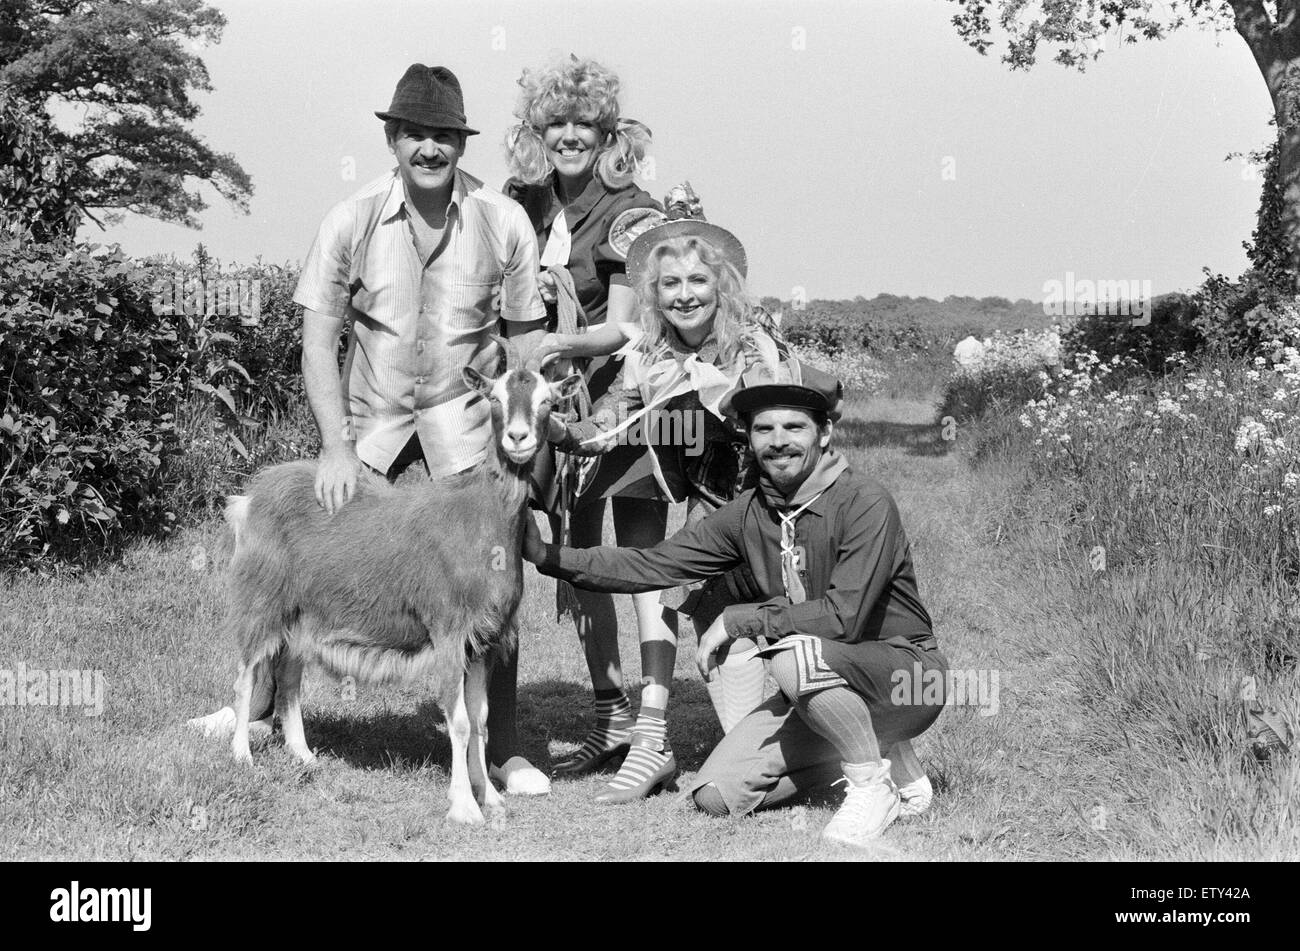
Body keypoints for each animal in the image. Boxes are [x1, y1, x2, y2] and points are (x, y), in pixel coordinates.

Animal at [226, 348, 582, 826]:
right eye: (494, 399)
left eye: (547, 401)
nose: (518, 438)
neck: (481, 518)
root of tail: (251, 498)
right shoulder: (449, 631)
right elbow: (459, 722)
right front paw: (464, 807)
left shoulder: (484, 640)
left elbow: (481, 719)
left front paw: (489, 795)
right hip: (263, 597)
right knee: (247, 674)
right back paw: (242, 756)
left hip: (305, 612)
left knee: (289, 674)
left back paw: (303, 756)